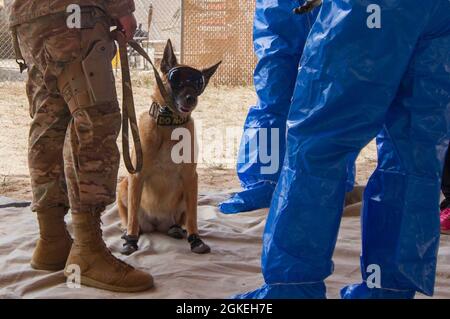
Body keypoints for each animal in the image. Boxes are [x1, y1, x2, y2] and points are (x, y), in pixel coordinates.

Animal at [117, 39, 221, 255]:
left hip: (186, 192)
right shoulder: (136, 175)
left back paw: (175, 229)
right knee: (131, 218)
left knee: (181, 219)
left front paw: (195, 239)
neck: (170, 125)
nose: (191, 98)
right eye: (177, 80)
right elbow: (132, 216)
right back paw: (132, 233)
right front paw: (131, 240)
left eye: (198, 84)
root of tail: (157, 225)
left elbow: (193, 216)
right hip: (123, 186)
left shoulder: (191, 177)